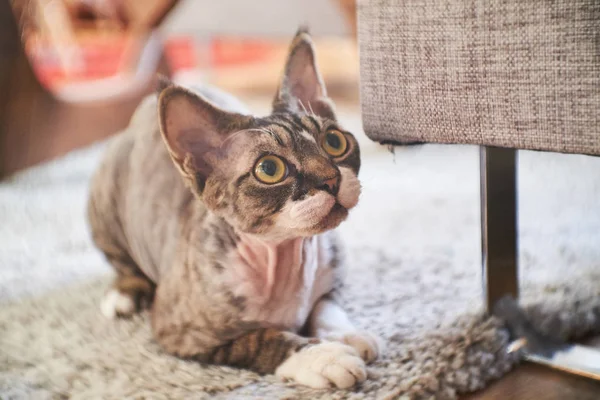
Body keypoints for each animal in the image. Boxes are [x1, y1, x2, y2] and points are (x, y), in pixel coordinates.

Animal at [86, 28, 382, 390]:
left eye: (335, 142)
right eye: (269, 169)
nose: (331, 178)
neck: (287, 256)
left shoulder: (332, 280)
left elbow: (325, 307)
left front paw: (344, 335)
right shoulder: (180, 332)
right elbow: (262, 339)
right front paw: (322, 357)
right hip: (104, 196)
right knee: (121, 262)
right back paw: (123, 295)